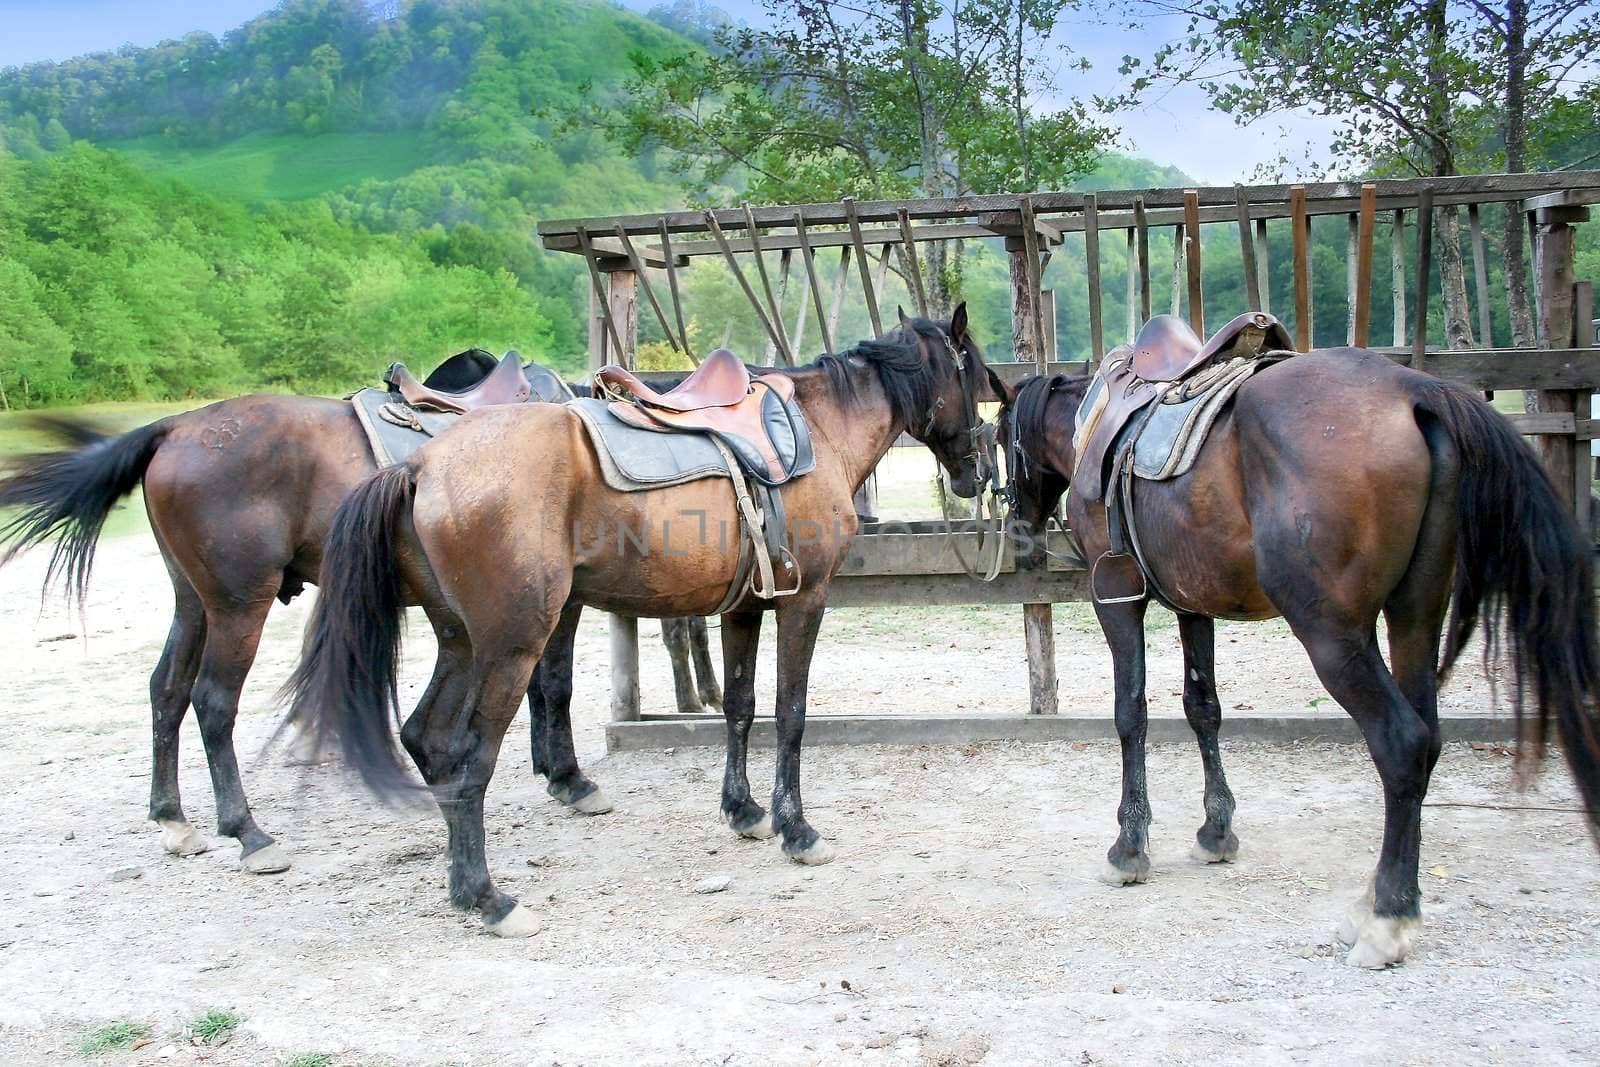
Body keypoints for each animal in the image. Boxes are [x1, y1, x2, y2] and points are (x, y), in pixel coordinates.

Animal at [276, 308, 998, 934]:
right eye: (977, 378)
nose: (981, 470)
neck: (818, 429)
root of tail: (420, 465)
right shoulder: (805, 601)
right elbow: (790, 714)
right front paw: (797, 828)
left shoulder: (744, 607)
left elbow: (740, 707)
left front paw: (743, 810)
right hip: (510, 646)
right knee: (469, 755)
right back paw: (490, 898)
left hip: (459, 641)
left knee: (426, 740)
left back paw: (460, 885)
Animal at [1004, 319, 1593, 966]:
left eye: (1002, 440)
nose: (1017, 523)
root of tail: (1417, 392)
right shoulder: (1193, 604)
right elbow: (1203, 709)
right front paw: (1216, 832)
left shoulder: (1116, 596)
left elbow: (1130, 713)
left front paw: (1129, 847)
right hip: (1414, 616)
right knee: (1429, 738)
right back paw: (1381, 900)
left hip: (1332, 634)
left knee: (1402, 741)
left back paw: (1388, 917)